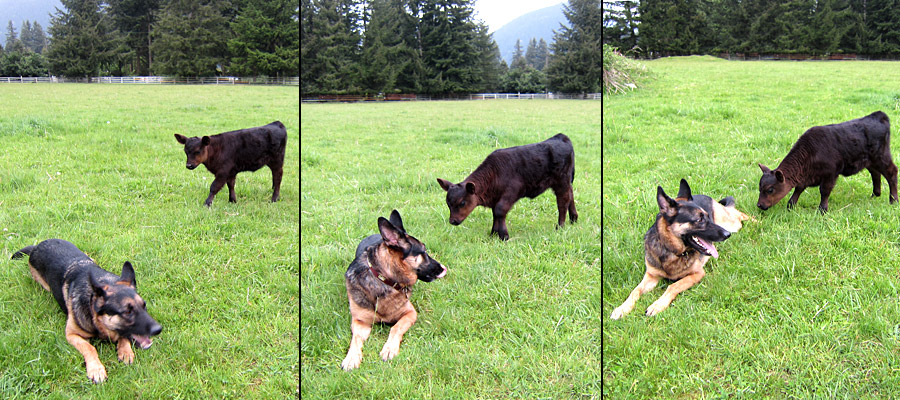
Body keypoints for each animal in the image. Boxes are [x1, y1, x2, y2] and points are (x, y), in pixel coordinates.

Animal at [11, 239, 163, 383]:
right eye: (127, 312)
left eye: (144, 305)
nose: (158, 329)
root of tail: (38, 245)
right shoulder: (71, 334)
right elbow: (89, 347)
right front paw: (96, 369)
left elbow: (123, 336)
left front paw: (125, 350)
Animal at [341, 210, 447, 371]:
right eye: (423, 251)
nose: (444, 268)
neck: (384, 279)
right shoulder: (359, 321)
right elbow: (356, 338)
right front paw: (351, 357)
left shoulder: (410, 313)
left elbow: (395, 327)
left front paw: (389, 348)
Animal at [611, 179, 752, 319]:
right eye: (699, 219)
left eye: (707, 216)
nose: (727, 235)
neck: (672, 251)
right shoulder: (651, 276)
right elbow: (635, 291)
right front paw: (622, 308)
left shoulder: (697, 274)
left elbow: (673, 286)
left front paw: (658, 305)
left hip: (731, 223)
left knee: (740, 214)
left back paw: (755, 221)